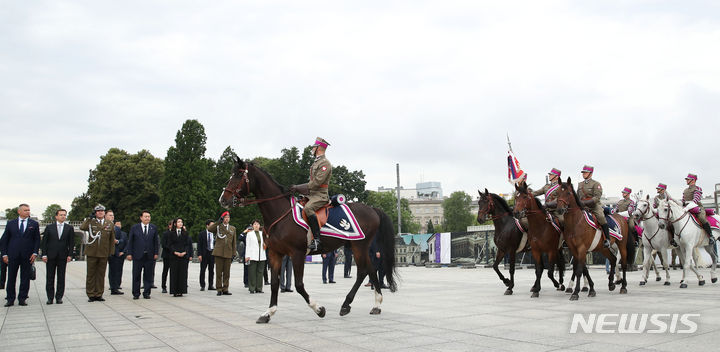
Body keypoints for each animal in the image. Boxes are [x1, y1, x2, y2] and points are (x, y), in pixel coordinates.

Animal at [219, 158, 400, 324]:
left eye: (238, 175)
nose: (223, 199)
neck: (280, 214)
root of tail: (373, 209)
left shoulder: (297, 254)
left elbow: (299, 285)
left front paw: (319, 309)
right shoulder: (275, 254)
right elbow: (275, 283)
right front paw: (268, 313)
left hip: (359, 245)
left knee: (363, 271)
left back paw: (346, 305)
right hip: (359, 246)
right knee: (371, 269)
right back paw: (376, 304)